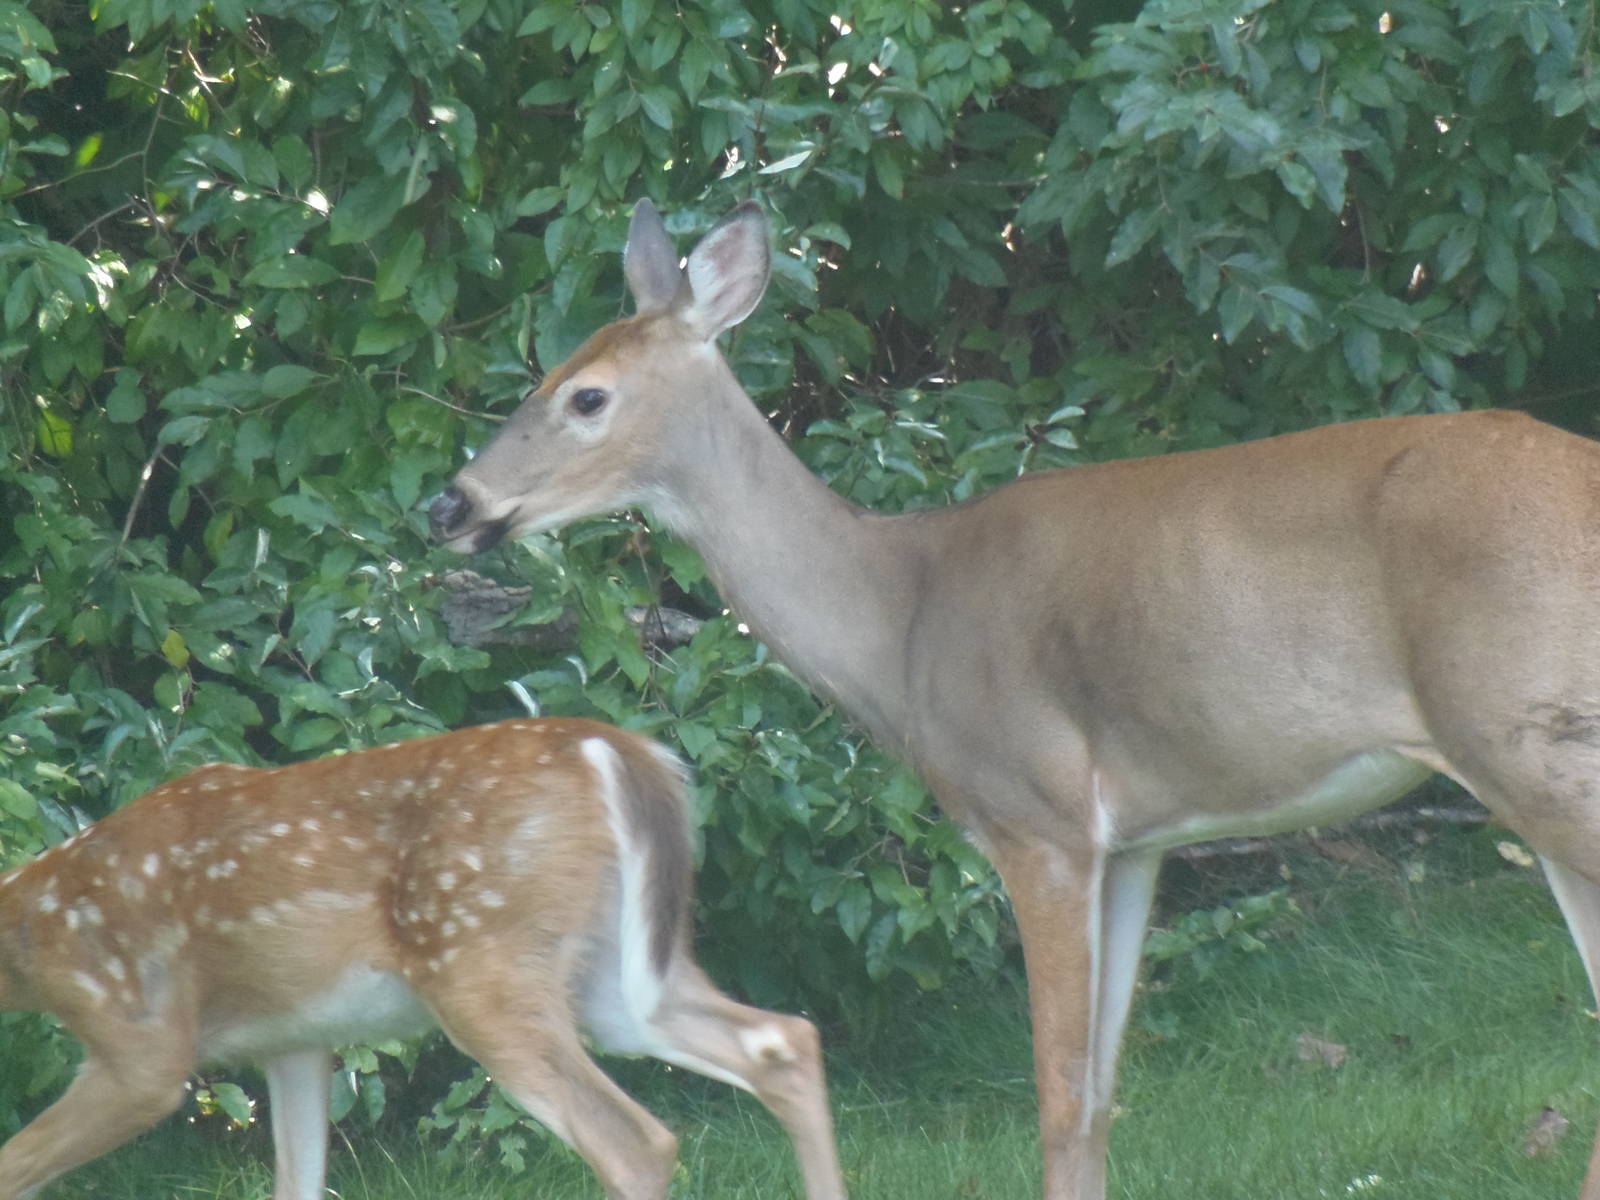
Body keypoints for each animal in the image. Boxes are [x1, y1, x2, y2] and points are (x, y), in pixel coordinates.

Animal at [0, 719, 846, 1200]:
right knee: (783, 1039)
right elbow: (298, 1182)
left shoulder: (139, 1043)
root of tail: (617, 749)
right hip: (616, 977)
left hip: (482, 964)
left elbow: (15, 1166)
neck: (33, 933)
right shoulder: (294, 1041)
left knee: (637, 1142)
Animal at [427, 196, 1600, 1198]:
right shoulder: (1134, 842)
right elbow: (1101, 1098)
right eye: (544, 373)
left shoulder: (1038, 818)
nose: (452, 505)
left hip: (1533, 742)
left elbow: (1056, 1098)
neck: (901, 616)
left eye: (587, 395)